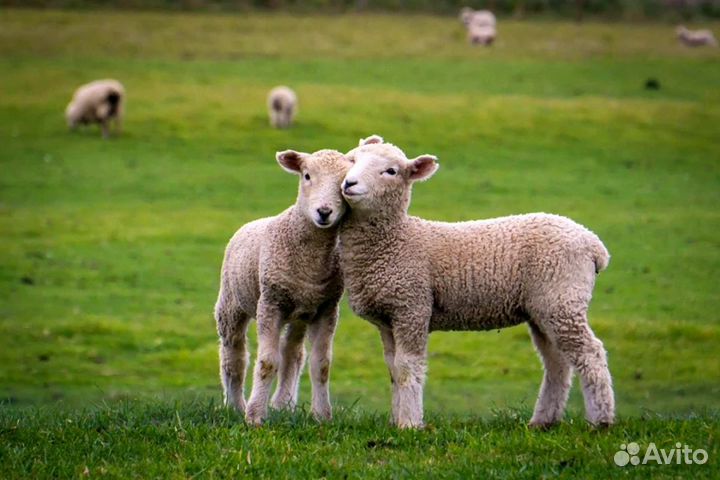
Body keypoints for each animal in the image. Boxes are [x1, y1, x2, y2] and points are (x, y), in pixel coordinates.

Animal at [214, 148, 348, 426]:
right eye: (306, 175)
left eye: (344, 182)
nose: (324, 211)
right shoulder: (270, 304)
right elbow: (266, 362)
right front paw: (254, 416)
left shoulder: (327, 308)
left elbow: (321, 365)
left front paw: (322, 416)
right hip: (231, 304)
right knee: (234, 355)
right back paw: (235, 405)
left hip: (299, 314)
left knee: (293, 354)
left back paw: (282, 405)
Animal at [338, 137, 612, 430]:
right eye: (352, 160)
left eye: (391, 171)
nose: (349, 184)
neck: (397, 240)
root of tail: (593, 244)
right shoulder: (388, 318)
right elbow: (392, 369)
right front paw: (396, 420)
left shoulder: (412, 308)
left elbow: (407, 367)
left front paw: (410, 424)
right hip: (544, 308)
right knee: (557, 362)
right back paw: (543, 421)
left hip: (562, 298)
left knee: (590, 354)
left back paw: (601, 420)